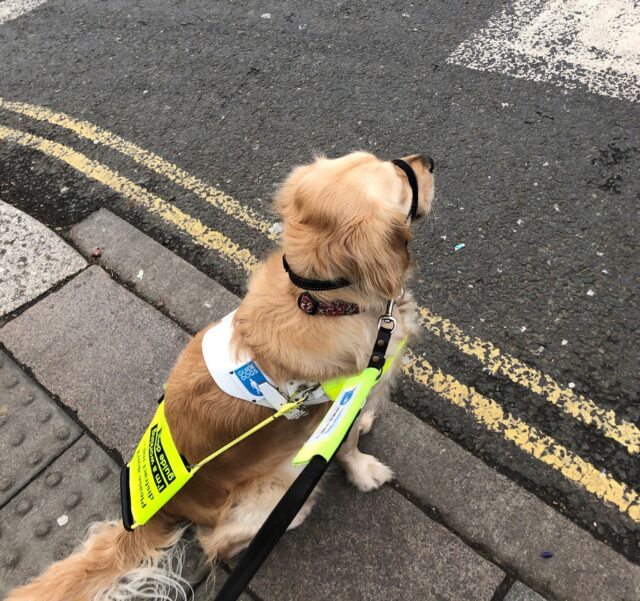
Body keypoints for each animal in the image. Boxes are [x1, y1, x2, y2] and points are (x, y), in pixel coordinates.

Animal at [7, 150, 432, 600]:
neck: (322, 300)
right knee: (216, 543)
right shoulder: (342, 407)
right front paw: (365, 471)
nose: (429, 160)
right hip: (280, 493)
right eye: (403, 178)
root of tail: (157, 513)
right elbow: (347, 445)